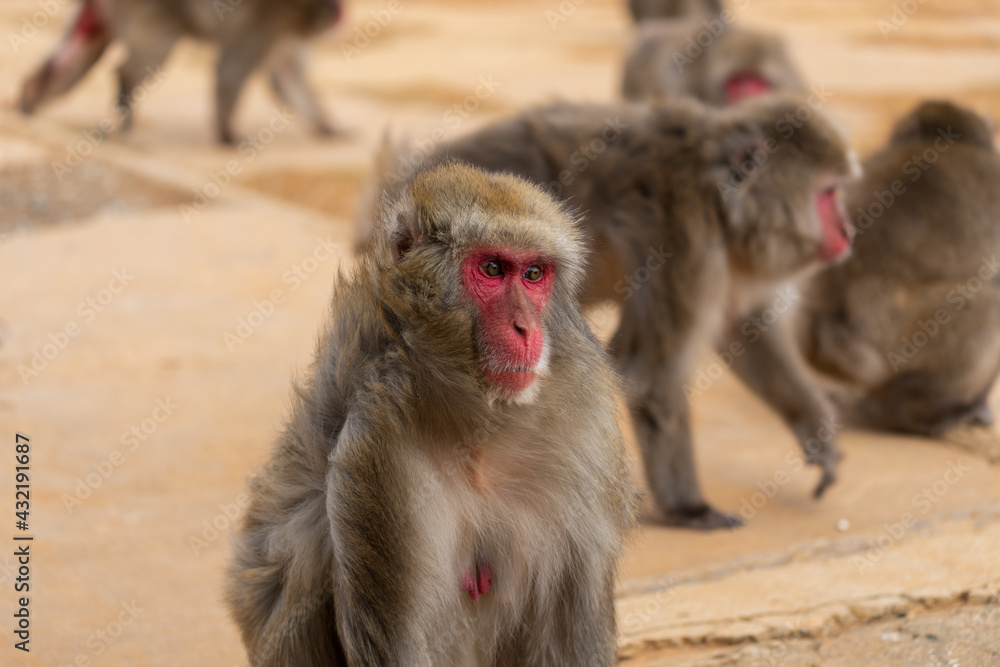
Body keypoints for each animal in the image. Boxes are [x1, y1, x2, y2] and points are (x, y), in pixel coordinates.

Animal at [19, 0, 340, 144]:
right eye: (335, 5)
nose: (340, 13)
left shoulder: (282, 31)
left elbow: (286, 77)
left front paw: (327, 126)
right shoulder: (268, 19)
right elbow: (231, 70)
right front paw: (227, 135)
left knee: (73, 58)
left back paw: (31, 96)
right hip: (148, 11)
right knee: (144, 58)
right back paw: (125, 103)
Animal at [226, 162, 636, 665]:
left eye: (534, 273)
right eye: (493, 269)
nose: (526, 328)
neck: (478, 423)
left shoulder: (586, 430)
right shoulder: (376, 443)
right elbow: (397, 643)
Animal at [355, 95, 860, 529]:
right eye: (828, 194)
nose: (848, 232)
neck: (720, 199)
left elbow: (745, 331)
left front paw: (816, 428)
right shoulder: (687, 240)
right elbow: (651, 374)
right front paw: (688, 508)